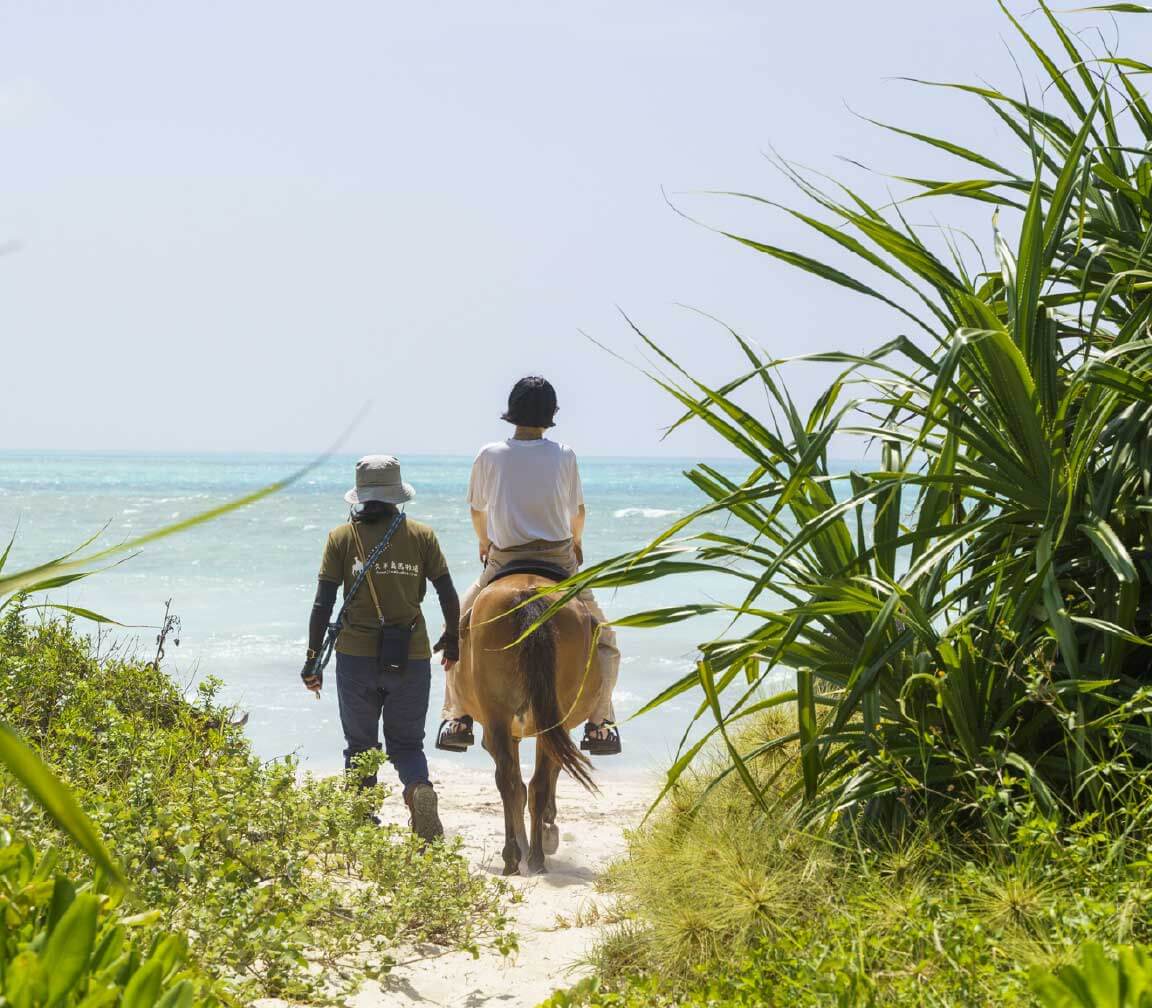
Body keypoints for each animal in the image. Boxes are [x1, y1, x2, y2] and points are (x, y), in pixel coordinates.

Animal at [453, 576, 599, 875]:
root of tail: (526, 593)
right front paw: (544, 828)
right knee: (531, 782)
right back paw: (532, 855)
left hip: (500, 716)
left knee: (512, 780)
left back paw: (516, 855)